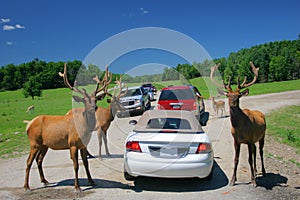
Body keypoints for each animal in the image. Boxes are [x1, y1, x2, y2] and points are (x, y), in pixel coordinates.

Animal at [23, 63, 109, 192]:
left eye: (95, 100)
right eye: (84, 101)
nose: (93, 108)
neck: (84, 129)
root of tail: (28, 124)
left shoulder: (83, 145)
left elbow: (86, 163)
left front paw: (91, 181)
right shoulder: (72, 144)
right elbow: (76, 166)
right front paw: (77, 187)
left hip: (44, 145)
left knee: (39, 160)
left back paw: (45, 181)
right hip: (34, 142)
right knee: (29, 161)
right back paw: (27, 186)